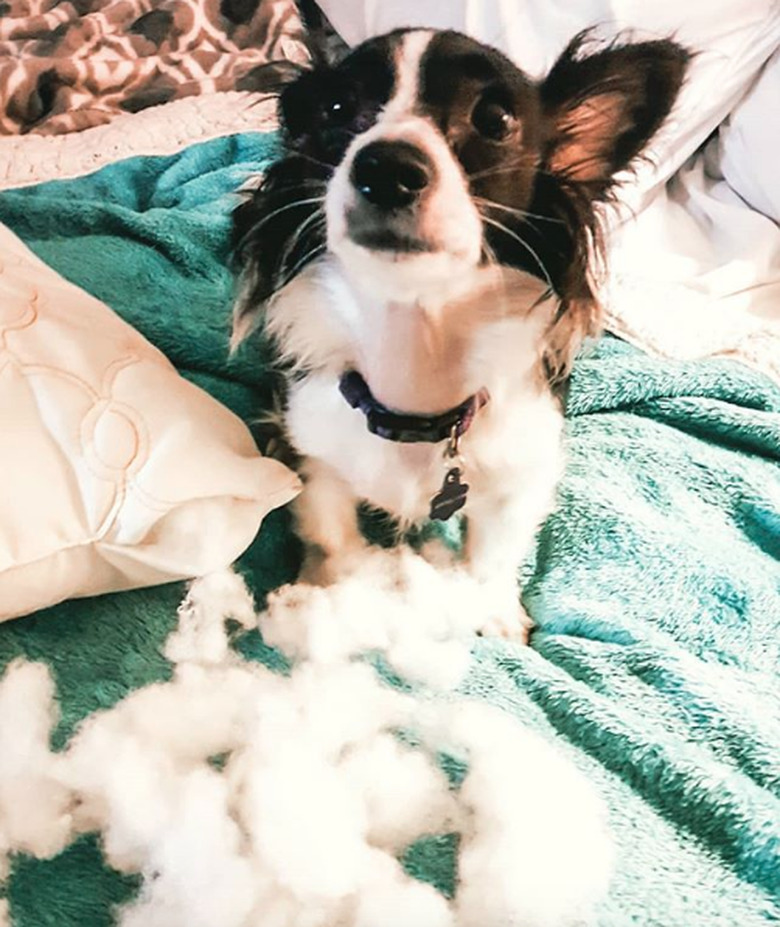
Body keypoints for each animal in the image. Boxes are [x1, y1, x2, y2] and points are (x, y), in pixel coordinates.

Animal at [232, 27, 688, 640]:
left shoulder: (518, 473)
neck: (414, 342)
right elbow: (331, 531)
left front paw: (492, 612)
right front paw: (326, 591)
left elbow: (495, 552)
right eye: (337, 109)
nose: (386, 167)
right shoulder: (314, 450)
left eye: (494, 119)